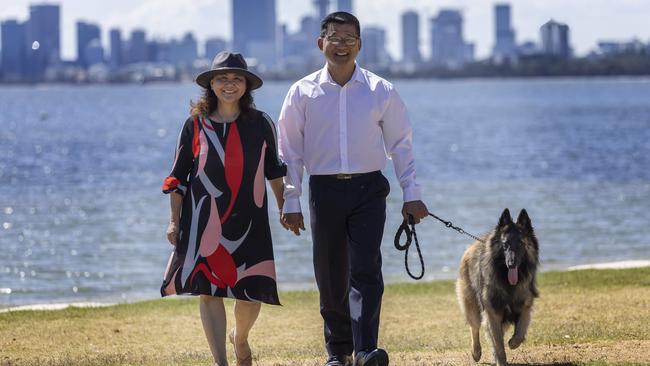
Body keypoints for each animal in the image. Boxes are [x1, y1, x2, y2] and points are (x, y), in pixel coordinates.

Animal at [454, 209, 540, 366]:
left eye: (520, 243)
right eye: (505, 245)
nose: (511, 264)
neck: (508, 283)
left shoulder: (524, 307)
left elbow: (520, 332)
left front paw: (513, 343)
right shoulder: (492, 312)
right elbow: (498, 343)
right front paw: (501, 360)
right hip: (472, 305)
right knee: (474, 327)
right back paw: (476, 352)